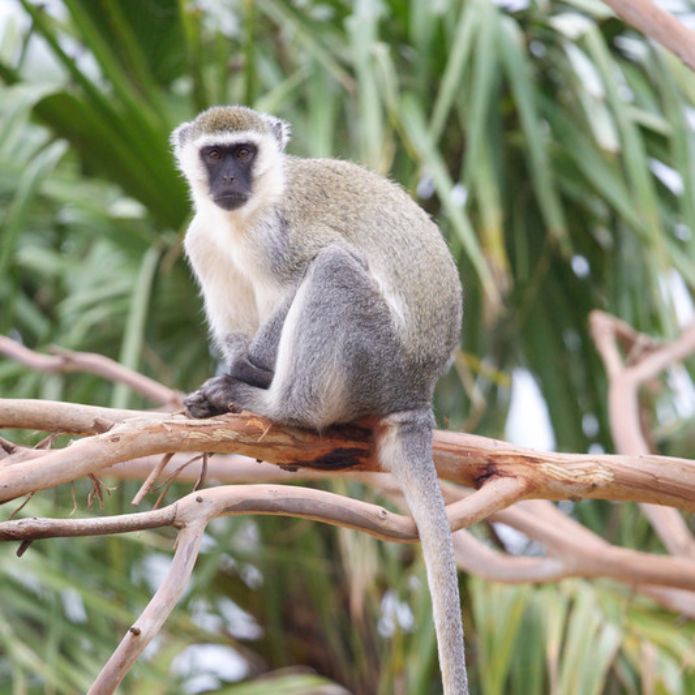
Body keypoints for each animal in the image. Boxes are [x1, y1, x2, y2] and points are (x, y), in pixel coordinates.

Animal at [172, 104, 470, 695]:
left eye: (244, 152)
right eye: (214, 155)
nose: (230, 179)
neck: (243, 219)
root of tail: (416, 393)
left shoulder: (280, 235)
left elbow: (315, 267)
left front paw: (237, 374)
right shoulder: (202, 241)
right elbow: (237, 324)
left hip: (375, 359)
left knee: (333, 270)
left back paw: (276, 405)